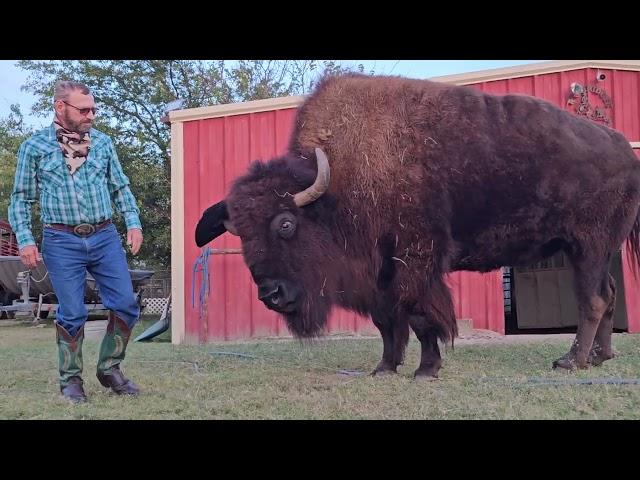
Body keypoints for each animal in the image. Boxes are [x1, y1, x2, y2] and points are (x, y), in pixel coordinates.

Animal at [195, 73, 640, 378]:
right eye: (242, 234)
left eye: (286, 224)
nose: (271, 294)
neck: (336, 184)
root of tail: (624, 150)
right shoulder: (379, 275)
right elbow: (388, 323)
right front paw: (383, 368)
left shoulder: (414, 262)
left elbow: (420, 316)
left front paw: (426, 370)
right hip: (597, 250)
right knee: (609, 295)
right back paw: (600, 357)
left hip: (588, 246)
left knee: (592, 300)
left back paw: (570, 361)